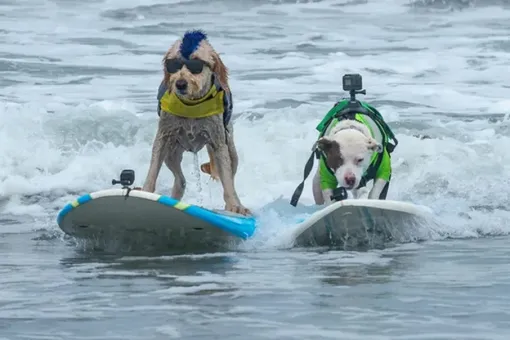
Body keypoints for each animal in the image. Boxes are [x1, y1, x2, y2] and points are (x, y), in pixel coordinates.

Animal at [141, 29, 251, 215]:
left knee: (230, 174)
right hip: (172, 152)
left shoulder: (218, 142)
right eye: (174, 64)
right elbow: (153, 169)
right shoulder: (163, 136)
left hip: (231, 150)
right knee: (180, 180)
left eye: (196, 64)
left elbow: (227, 180)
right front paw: (145, 192)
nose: (180, 83)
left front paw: (235, 206)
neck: (191, 104)